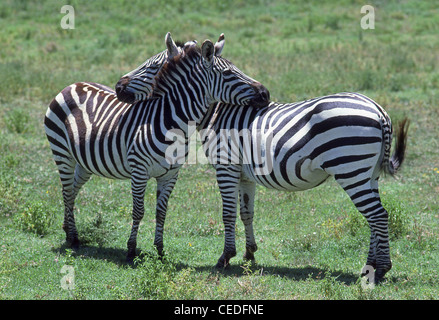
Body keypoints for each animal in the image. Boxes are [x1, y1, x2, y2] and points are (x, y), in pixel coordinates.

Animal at [45, 32, 272, 262]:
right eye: (227, 73)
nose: (265, 93)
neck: (171, 122)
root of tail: (73, 84)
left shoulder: (170, 175)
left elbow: (161, 212)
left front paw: (160, 250)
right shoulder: (139, 171)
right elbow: (138, 211)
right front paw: (131, 250)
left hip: (84, 163)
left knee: (72, 190)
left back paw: (68, 230)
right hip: (62, 154)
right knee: (66, 191)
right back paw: (73, 238)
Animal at [116, 38, 410, 282]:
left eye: (152, 67)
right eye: (229, 73)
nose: (118, 87)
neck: (217, 112)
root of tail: (379, 110)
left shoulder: (225, 167)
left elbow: (227, 213)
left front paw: (225, 258)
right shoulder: (245, 174)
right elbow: (246, 213)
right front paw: (249, 254)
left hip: (351, 168)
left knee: (378, 215)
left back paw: (381, 269)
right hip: (368, 173)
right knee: (374, 217)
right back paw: (370, 266)